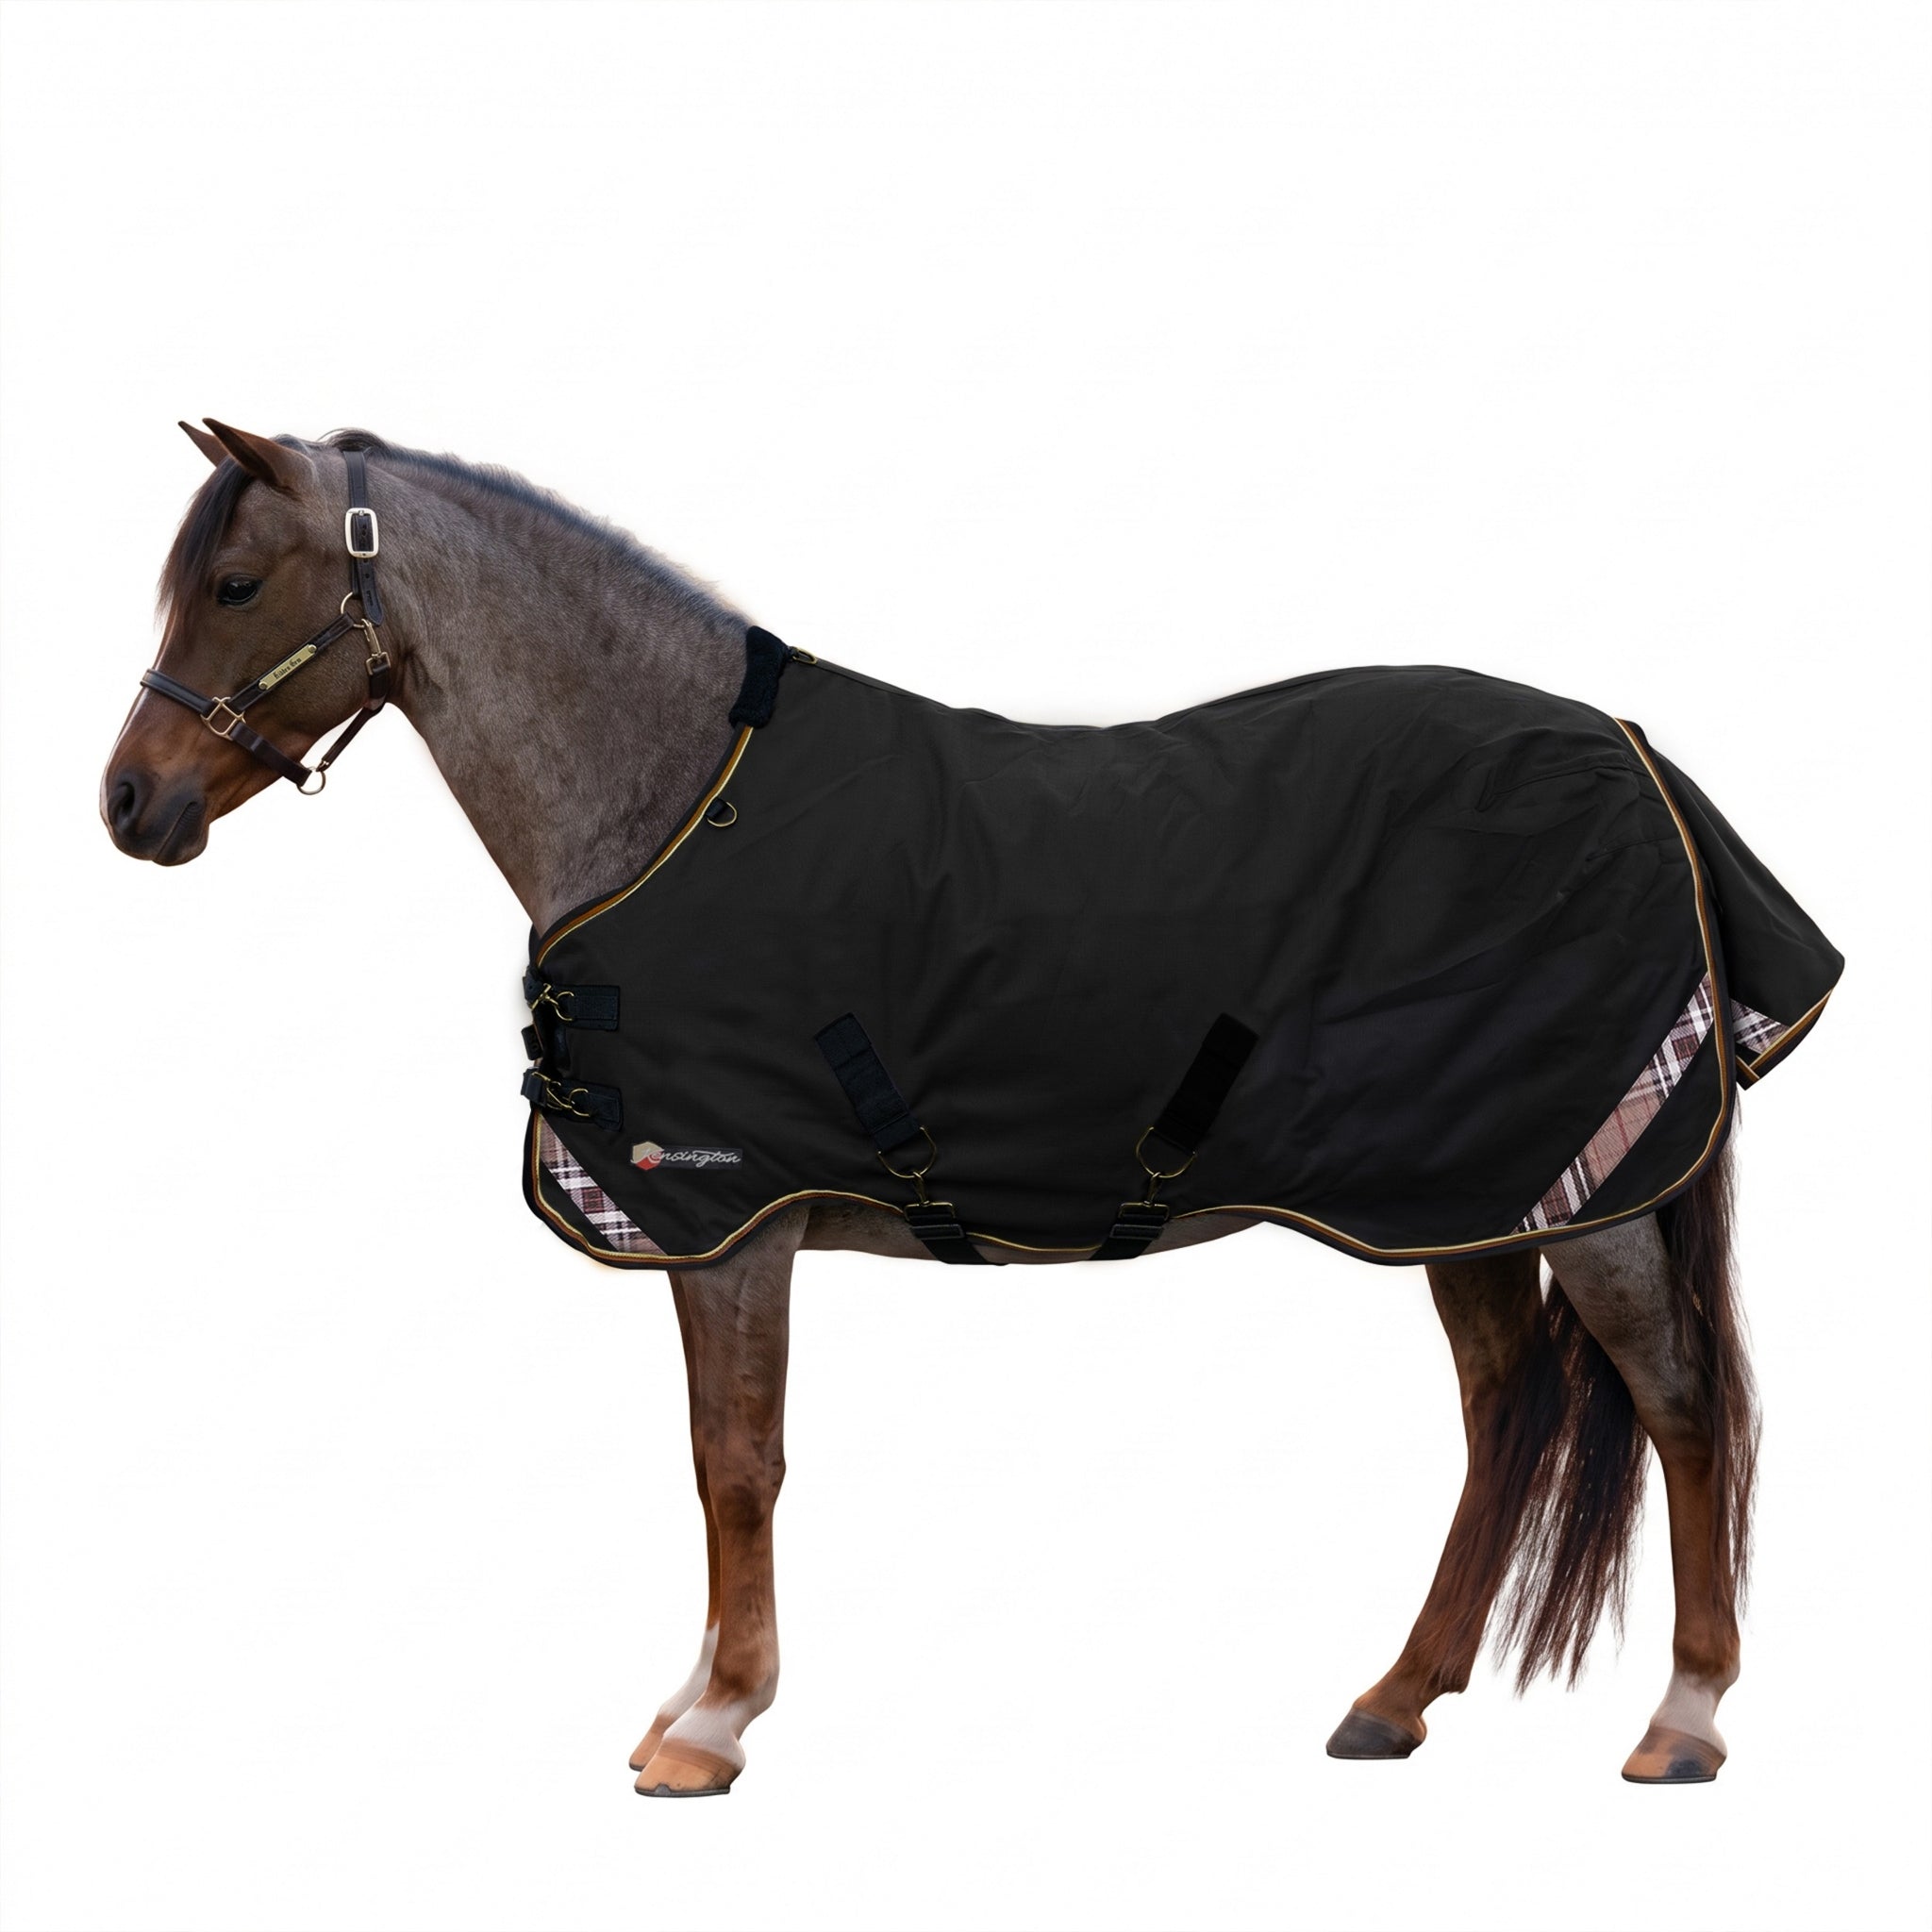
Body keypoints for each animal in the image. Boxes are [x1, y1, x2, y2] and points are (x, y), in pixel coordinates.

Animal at [101, 418, 1835, 1797]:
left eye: (236, 583)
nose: (130, 803)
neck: (670, 802)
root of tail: (1631, 752)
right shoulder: (713, 1231)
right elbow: (716, 1455)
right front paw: (696, 1697)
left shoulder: (730, 1215)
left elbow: (737, 1459)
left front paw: (713, 1724)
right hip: (1458, 1197)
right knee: (1504, 1413)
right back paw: (1394, 1700)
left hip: (1581, 1190)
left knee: (1678, 1406)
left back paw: (1683, 1717)